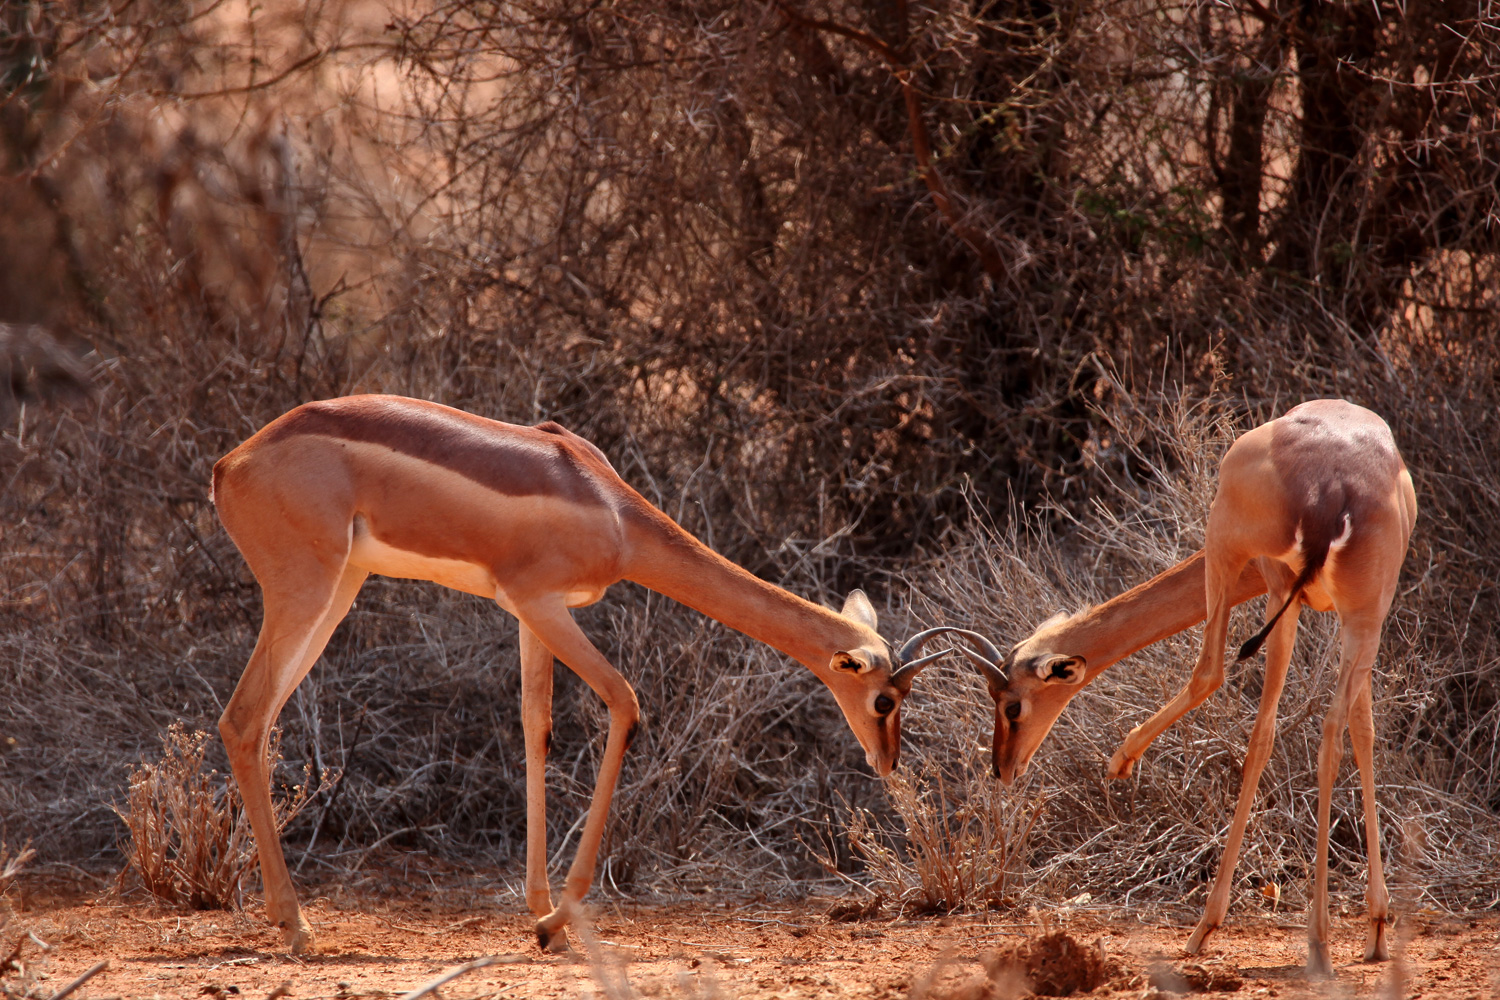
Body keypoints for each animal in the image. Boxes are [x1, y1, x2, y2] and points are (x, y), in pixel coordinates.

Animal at [211, 395, 960, 953]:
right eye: (886, 699)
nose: (888, 762)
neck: (612, 512)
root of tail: (230, 463)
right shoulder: (542, 602)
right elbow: (625, 703)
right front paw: (555, 922)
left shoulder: (528, 610)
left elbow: (535, 727)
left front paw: (542, 910)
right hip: (307, 588)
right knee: (242, 718)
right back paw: (299, 927)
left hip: (342, 587)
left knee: (259, 721)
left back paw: (287, 916)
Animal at [960, 398, 1416, 977]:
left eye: (1011, 705)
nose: (1003, 768)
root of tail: (1334, 488)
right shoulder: (1353, 621)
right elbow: (1365, 729)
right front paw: (1377, 925)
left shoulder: (1272, 584)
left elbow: (1246, 708)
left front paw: (1120, 762)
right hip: (1357, 615)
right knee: (1332, 731)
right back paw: (1327, 939)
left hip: (1238, 559)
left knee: (1224, 685)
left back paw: (1222, 928)